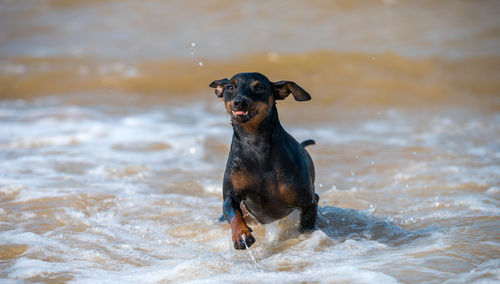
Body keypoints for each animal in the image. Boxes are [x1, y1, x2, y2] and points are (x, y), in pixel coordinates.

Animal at [209, 72, 318, 250]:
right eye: (230, 87)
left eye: (260, 87)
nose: (240, 101)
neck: (255, 144)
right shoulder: (230, 197)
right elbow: (233, 214)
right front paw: (241, 235)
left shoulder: (309, 202)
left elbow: (306, 228)